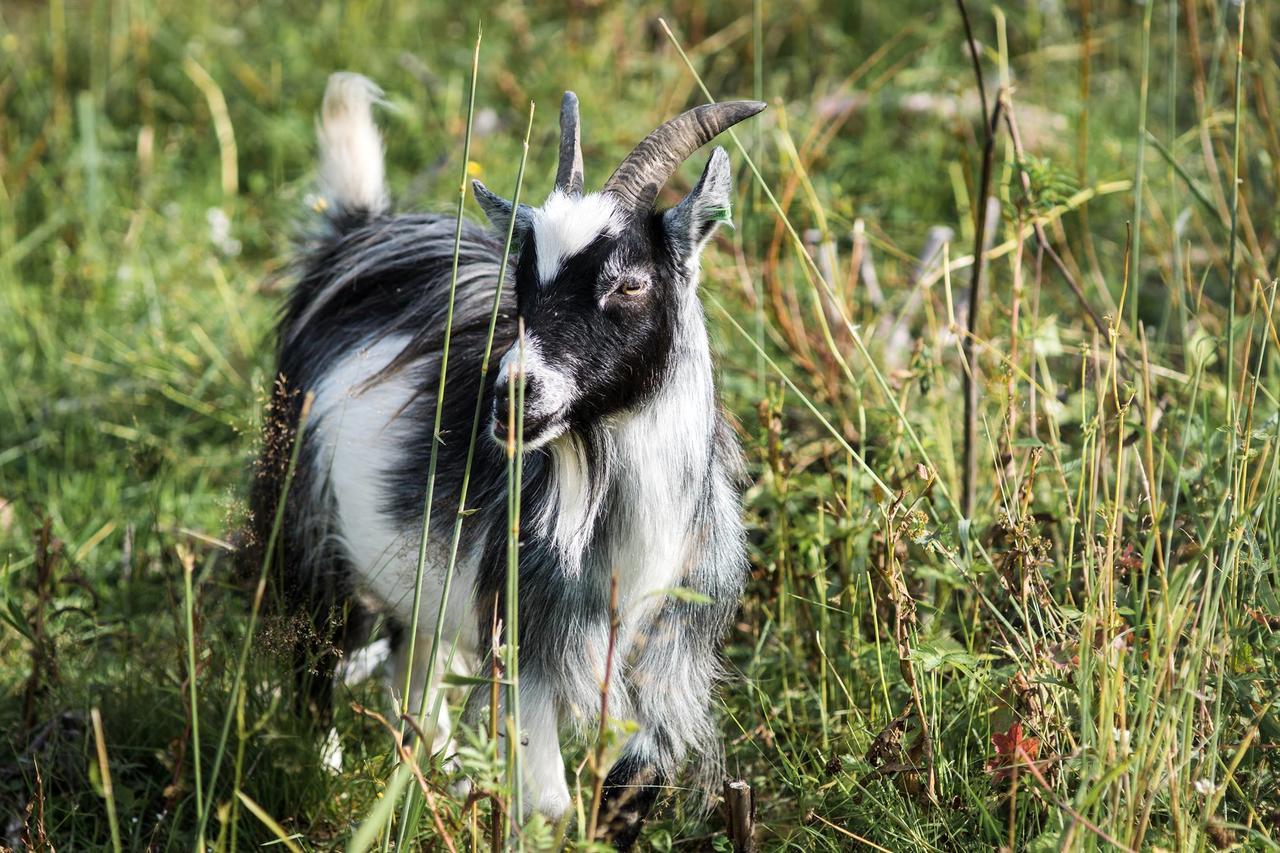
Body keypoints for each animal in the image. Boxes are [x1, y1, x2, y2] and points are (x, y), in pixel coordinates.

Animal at [250, 73, 762, 845]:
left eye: (630, 283)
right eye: (522, 281)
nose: (514, 394)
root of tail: (360, 233)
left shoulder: (669, 645)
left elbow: (635, 784)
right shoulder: (526, 637)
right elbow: (547, 803)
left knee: (412, 669)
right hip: (301, 507)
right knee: (317, 649)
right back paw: (328, 774)